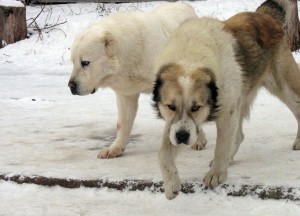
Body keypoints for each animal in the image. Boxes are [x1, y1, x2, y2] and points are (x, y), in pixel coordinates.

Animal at [68, 2, 202, 159]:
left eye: (85, 63)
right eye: (73, 62)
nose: (71, 85)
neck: (128, 55)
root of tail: (185, 5)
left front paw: (198, 140)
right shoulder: (126, 92)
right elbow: (122, 123)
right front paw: (115, 148)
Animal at [154, 7, 300, 199]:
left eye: (196, 107)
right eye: (170, 107)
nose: (182, 137)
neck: (190, 57)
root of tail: (263, 14)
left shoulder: (226, 113)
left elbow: (221, 147)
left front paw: (217, 174)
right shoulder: (175, 125)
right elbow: (163, 153)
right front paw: (171, 183)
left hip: (284, 87)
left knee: (297, 109)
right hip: (241, 97)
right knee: (238, 135)